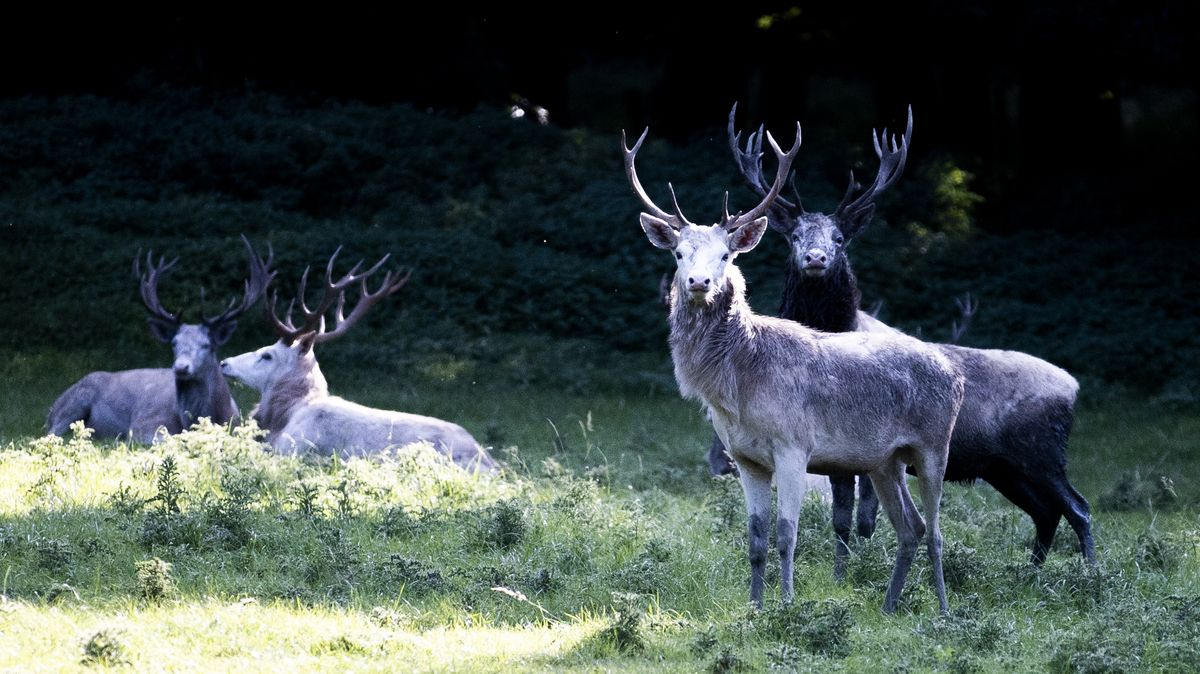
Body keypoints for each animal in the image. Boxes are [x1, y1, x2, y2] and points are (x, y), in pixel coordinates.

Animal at [47, 236, 274, 441]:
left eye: (207, 345)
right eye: (174, 343)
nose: (181, 367)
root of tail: (51, 407)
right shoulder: (142, 425)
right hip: (73, 402)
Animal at [624, 123, 960, 611]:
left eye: (726, 255)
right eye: (680, 253)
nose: (699, 282)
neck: (738, 390)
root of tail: (956, 374)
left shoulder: (794, 446)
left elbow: (787, 535)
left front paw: (786, 605)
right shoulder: (745, 458)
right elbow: (755, 539)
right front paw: (754, 607)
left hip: (935, 446)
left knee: (936, 531)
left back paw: (943, 611)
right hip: (885, 459)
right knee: (910, 526)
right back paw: (888, 606)